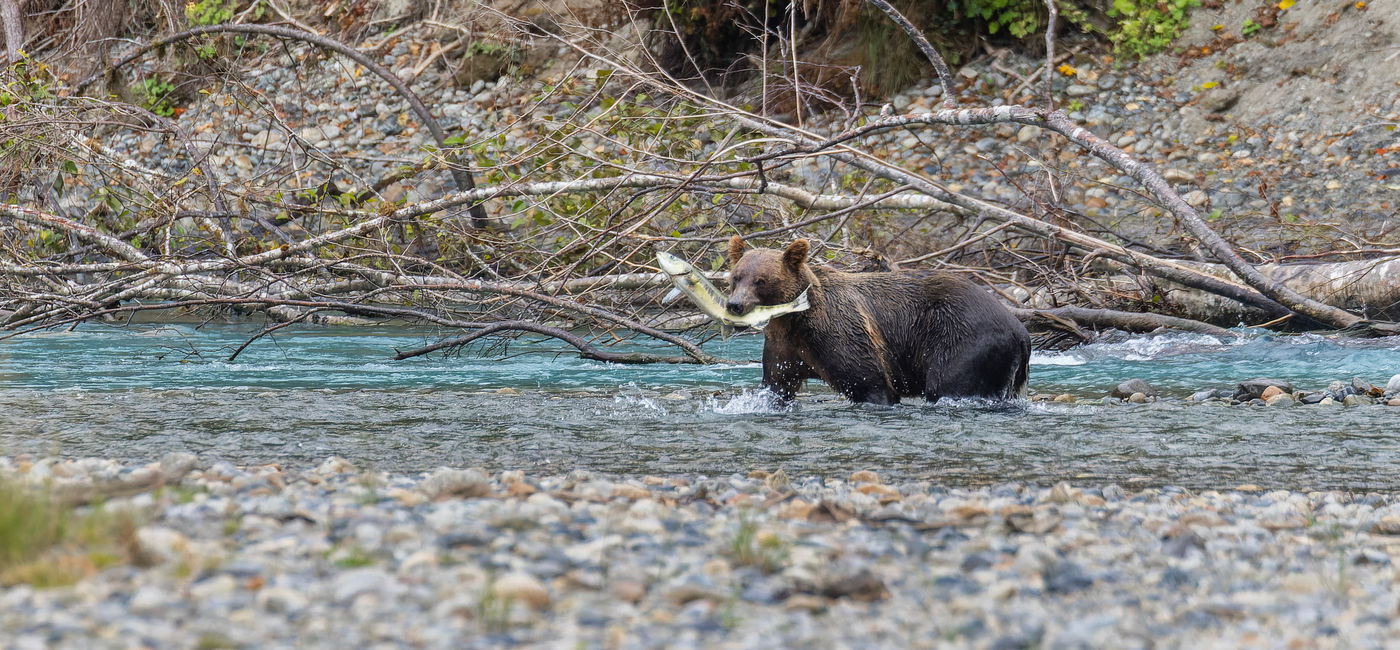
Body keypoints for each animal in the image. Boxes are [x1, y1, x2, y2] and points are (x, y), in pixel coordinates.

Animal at [725, 236, 1030, 405]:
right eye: (736, 277)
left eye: (761, 280)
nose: (735, 304)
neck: (793, 320)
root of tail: (1021, 331)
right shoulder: (785, 348)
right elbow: (776, 385)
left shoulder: (839, 333)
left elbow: (870, 383)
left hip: (962, 338)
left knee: (949, 385)